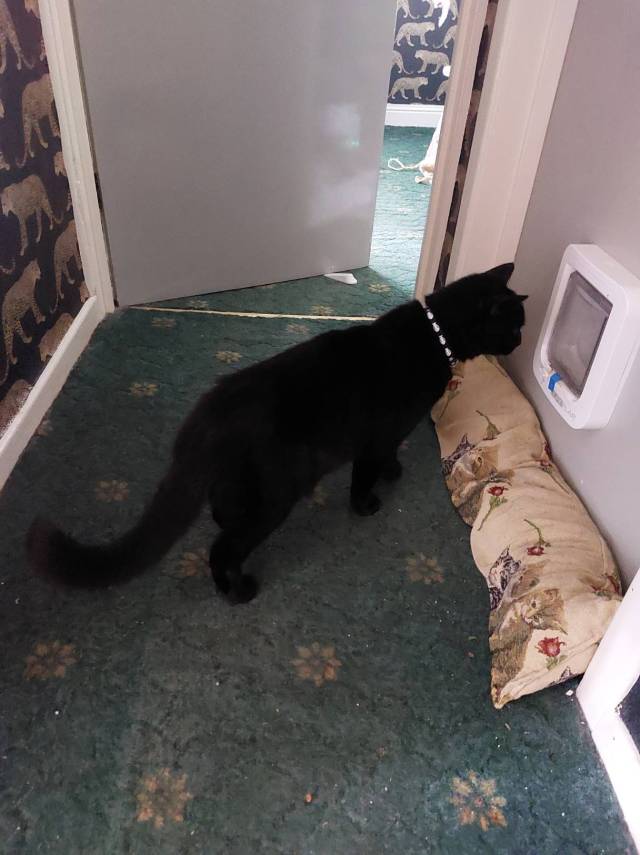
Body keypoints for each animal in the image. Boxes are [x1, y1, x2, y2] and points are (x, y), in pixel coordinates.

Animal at [27, 264, 526, 604]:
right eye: (516, 323)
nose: (522, 343)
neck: (434, 334)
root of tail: (207, 416)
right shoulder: (377, 435)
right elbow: (367, 471)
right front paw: (369, 502)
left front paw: (392, 472)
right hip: (276, 495)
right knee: (222, 548)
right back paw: (236, 591)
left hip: (244, 485)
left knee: (222, 514)